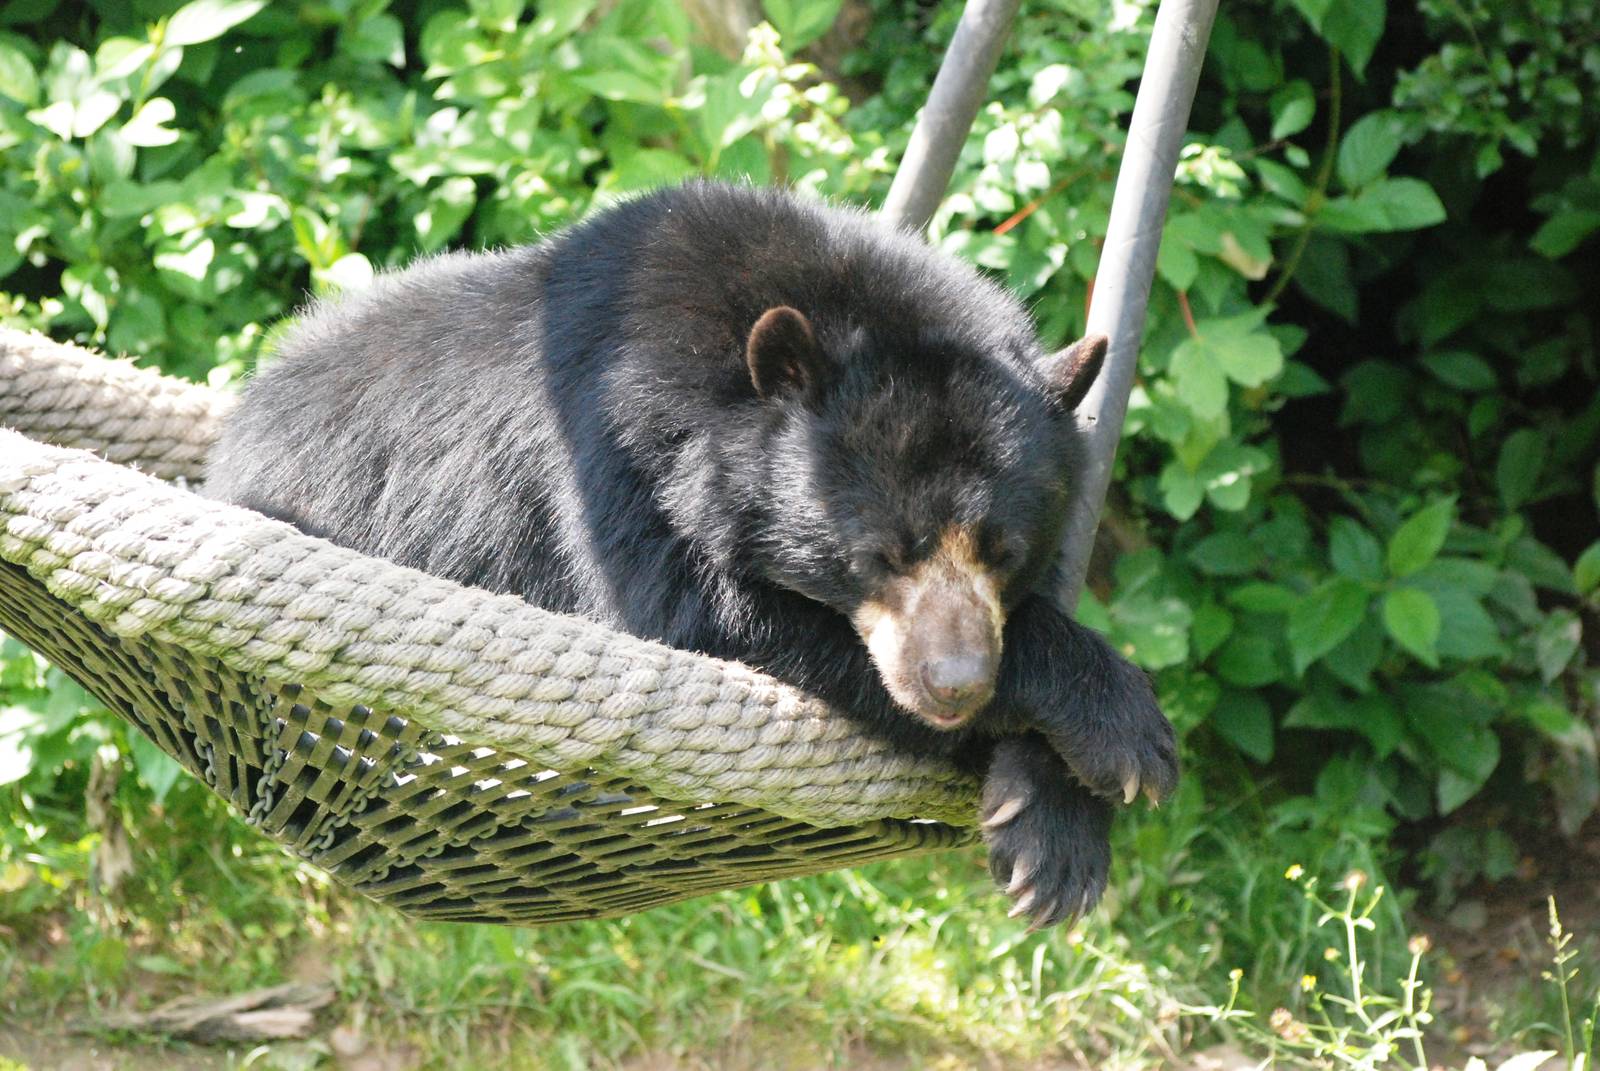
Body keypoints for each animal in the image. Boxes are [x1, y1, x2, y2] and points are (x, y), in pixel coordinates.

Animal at [204, 180, 1178, 929]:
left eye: (1004, 551)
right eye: (876, 554)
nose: (954, 683)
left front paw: (1054, 837)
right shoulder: (610, 454)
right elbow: (704, 616)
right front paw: (1120, 736)